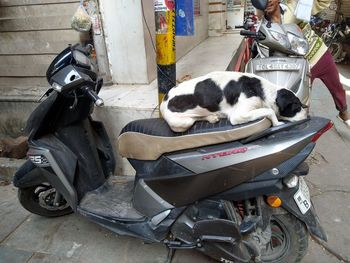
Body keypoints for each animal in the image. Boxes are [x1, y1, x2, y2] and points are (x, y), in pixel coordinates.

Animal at [160, 71, 308, 133]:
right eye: (297, 106)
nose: (307, 115)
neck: (263, 90)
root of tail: (164, 100)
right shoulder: (238, 115)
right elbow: (270, 111)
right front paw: (277, 123)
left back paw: (212, 117)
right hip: (181, 123)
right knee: (193, 119)